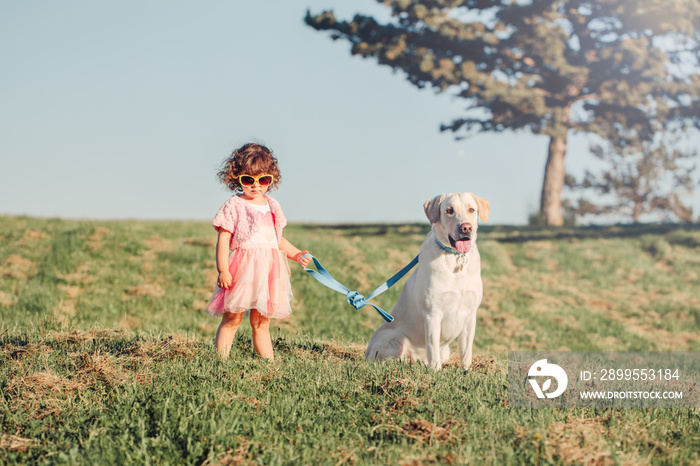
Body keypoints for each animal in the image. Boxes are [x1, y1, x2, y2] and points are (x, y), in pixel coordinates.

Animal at [366, 193, 486, 372]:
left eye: (471, 209)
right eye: (449, 210)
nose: (466, 228)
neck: (454, 257)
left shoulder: (470, 314)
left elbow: (466, 350)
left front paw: (466, 371)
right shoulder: (432, 313)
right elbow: (433, 347)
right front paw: (435, 371)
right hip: (393, 337)